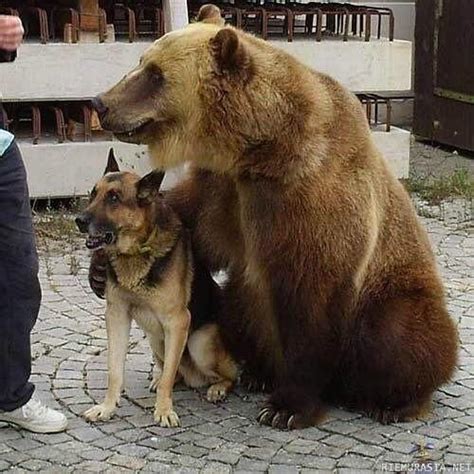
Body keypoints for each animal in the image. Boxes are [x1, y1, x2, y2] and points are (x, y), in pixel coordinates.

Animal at [76, 150, 239, 428]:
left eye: (114, 198)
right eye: (93, 194)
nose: (79, 221)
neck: (136, 251)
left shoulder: (178, 321)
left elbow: (167, 381)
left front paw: (163, 410)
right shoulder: (117, 316)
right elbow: (114, 371)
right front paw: (107, 408)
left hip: (199, 342)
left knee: (229, 374)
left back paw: (217, 387)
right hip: (155, 338)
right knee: (173, 372)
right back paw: (163, 378)